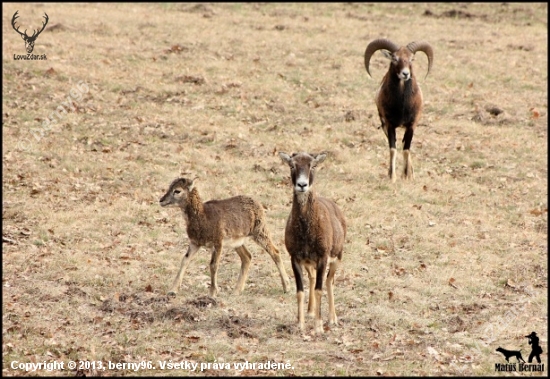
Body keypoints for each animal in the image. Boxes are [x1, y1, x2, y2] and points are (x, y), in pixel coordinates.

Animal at [160, 178, 292, 296]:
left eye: (177, 191)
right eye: (169, 187)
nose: (161, 200)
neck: (202, 217)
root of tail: (258, 204)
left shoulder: (218, 242)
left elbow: (213, 265)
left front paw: (212, 293)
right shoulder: (195, 243)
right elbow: (184, 261)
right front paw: (172, 291)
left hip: (260, 231)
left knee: (275, 252)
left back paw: (287, 287)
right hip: (238, 242)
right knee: (247, 257)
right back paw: (236, 291)